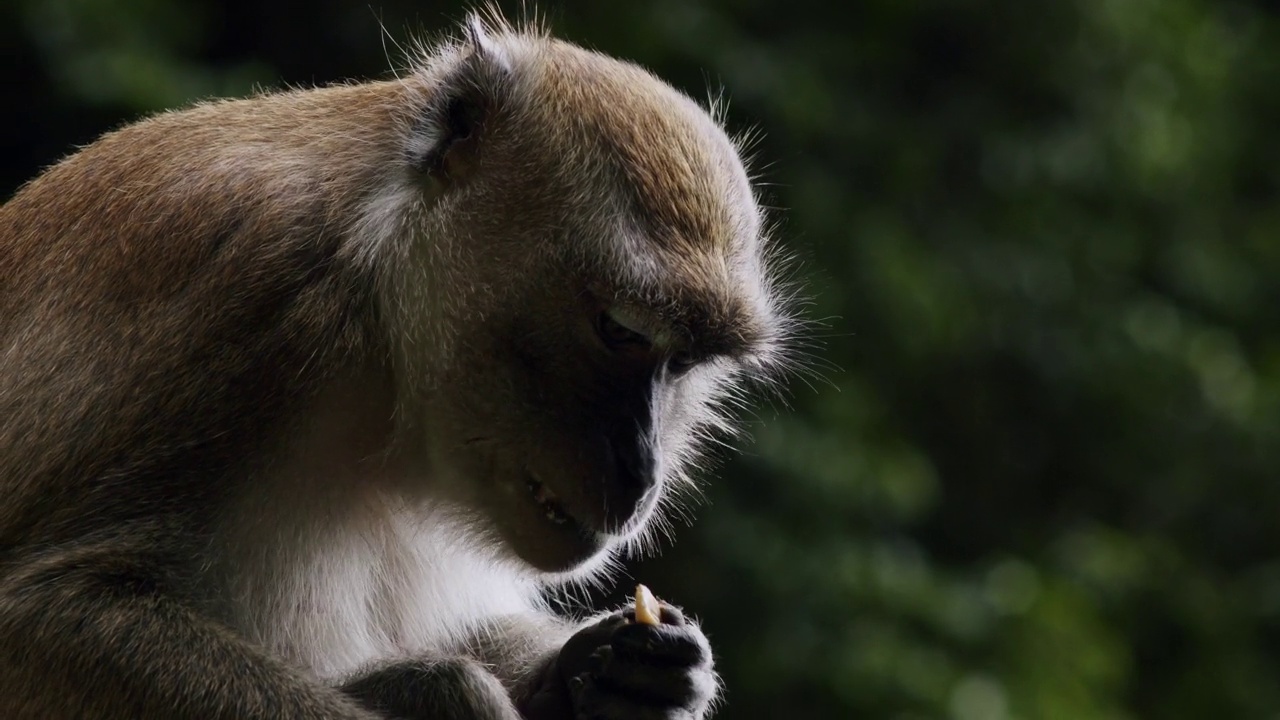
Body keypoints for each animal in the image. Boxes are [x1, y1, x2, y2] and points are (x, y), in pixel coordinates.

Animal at [0, 11, 793, 717]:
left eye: (686, 362)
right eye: (621, 330)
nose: (642, 471)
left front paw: (605, 672)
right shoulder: (245, 308)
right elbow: (39, 619)